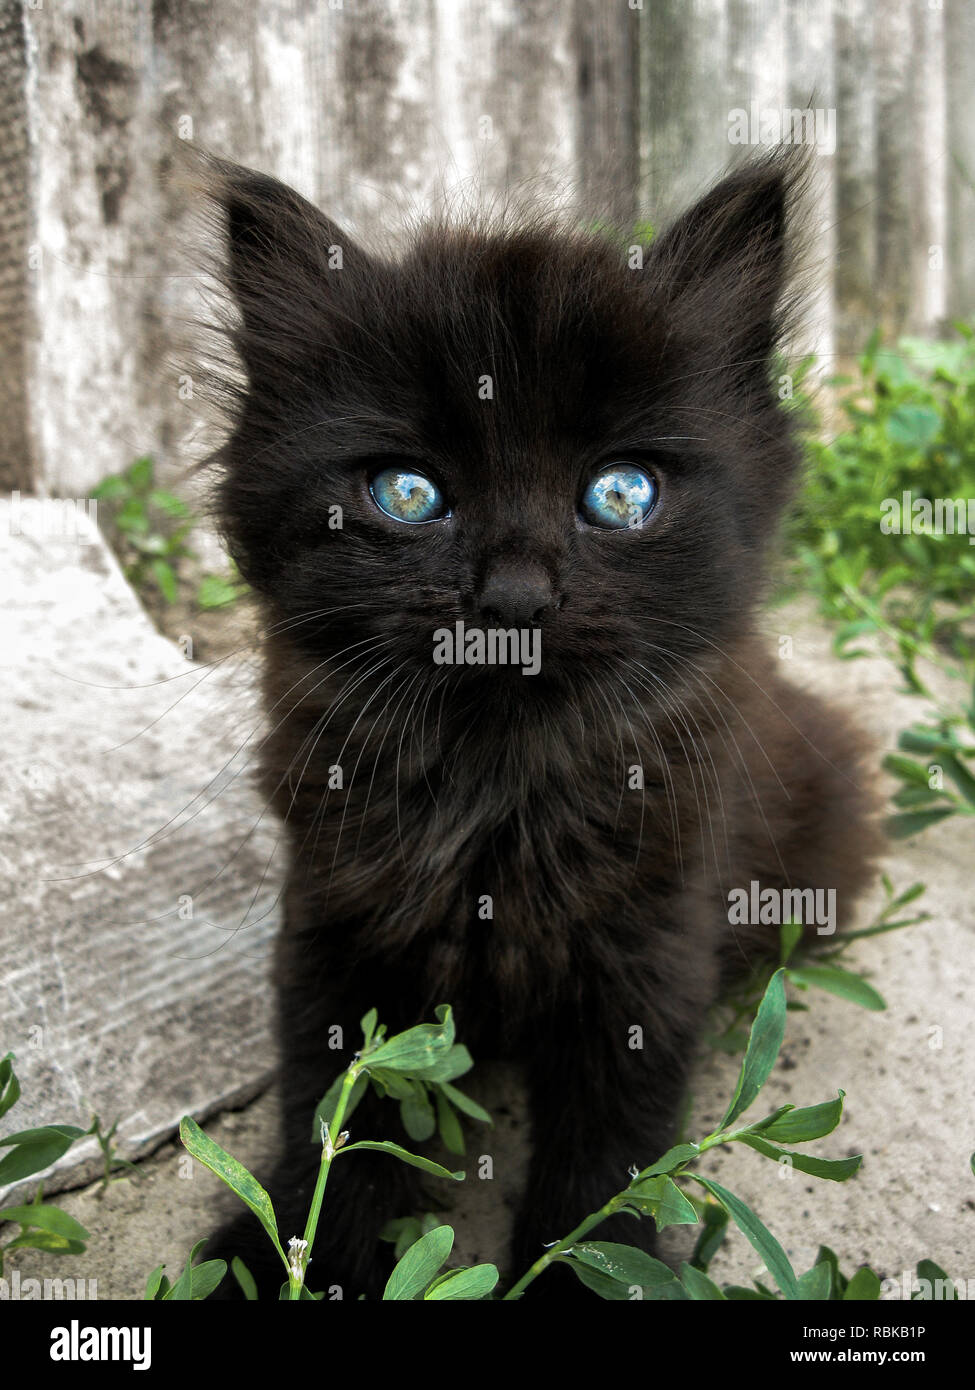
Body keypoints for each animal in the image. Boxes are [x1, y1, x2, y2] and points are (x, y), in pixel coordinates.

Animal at [197, 157, 884, 1295]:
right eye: (407, 492)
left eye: (621, 492)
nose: (514, 596)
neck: (500, 784)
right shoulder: (334, 913)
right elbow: (334, 1097)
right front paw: (293, 1249)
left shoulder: (652, 940)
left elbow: (612, 1143)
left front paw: (587, 1270)